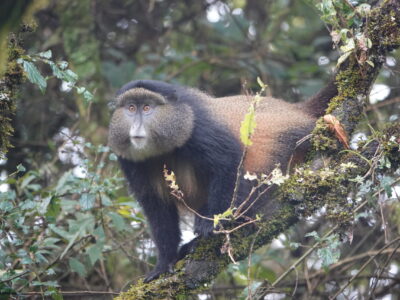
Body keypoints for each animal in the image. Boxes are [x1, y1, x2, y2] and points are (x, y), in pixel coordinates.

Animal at [108, 78, 336, 282]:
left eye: (147, 108)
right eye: (130, 108)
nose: (136, 127)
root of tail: (298, 111)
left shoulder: (198, 126)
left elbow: (229, 162)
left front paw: (212, 224)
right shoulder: (128, 160)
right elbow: (156, 205)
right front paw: (164, 263)